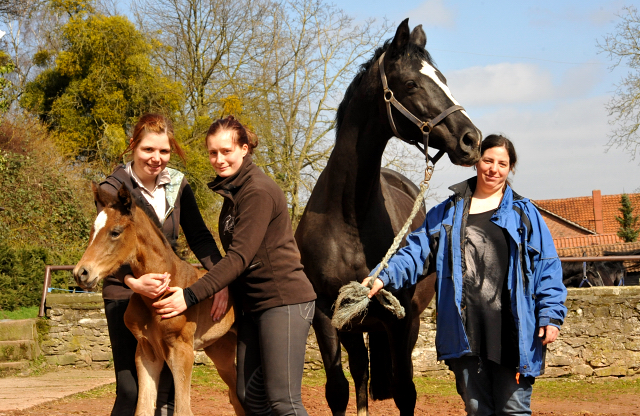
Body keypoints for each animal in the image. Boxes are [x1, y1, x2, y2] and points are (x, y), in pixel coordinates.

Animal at [296, 19, 480, 416]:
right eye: (411, 84)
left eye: (443, 78)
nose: (471, 139)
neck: (349, 215)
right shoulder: (327, 317)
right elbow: (339, 390)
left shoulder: (401, 320)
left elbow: (405, 391)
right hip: (356, 326)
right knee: (361, 377)